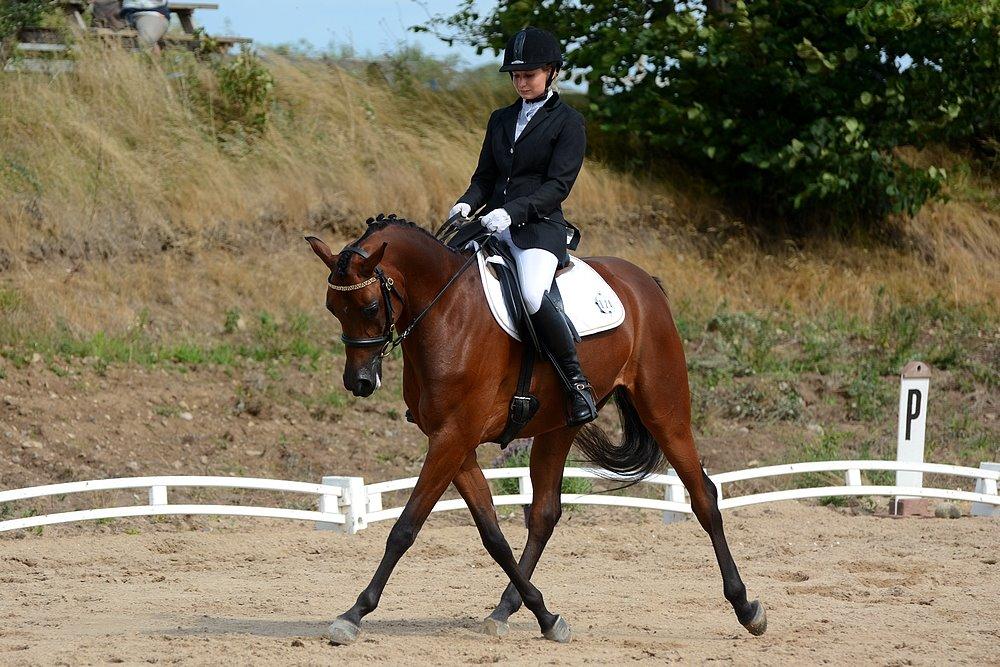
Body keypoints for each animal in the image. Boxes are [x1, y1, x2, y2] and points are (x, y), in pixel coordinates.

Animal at [304, 217, 764, 644]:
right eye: (332, 307)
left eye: (368, 307)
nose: (359, 382)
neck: (447, 312)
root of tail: (644, 282)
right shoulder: (454, 443)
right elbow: (493, 535)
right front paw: (546, 615)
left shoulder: (453, 437)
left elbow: (405, 528)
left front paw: (353, 614)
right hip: (558, 427)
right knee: (544, 514)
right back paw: (506, 609)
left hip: (666, 412)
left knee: (704, 496)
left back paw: (746, 608)